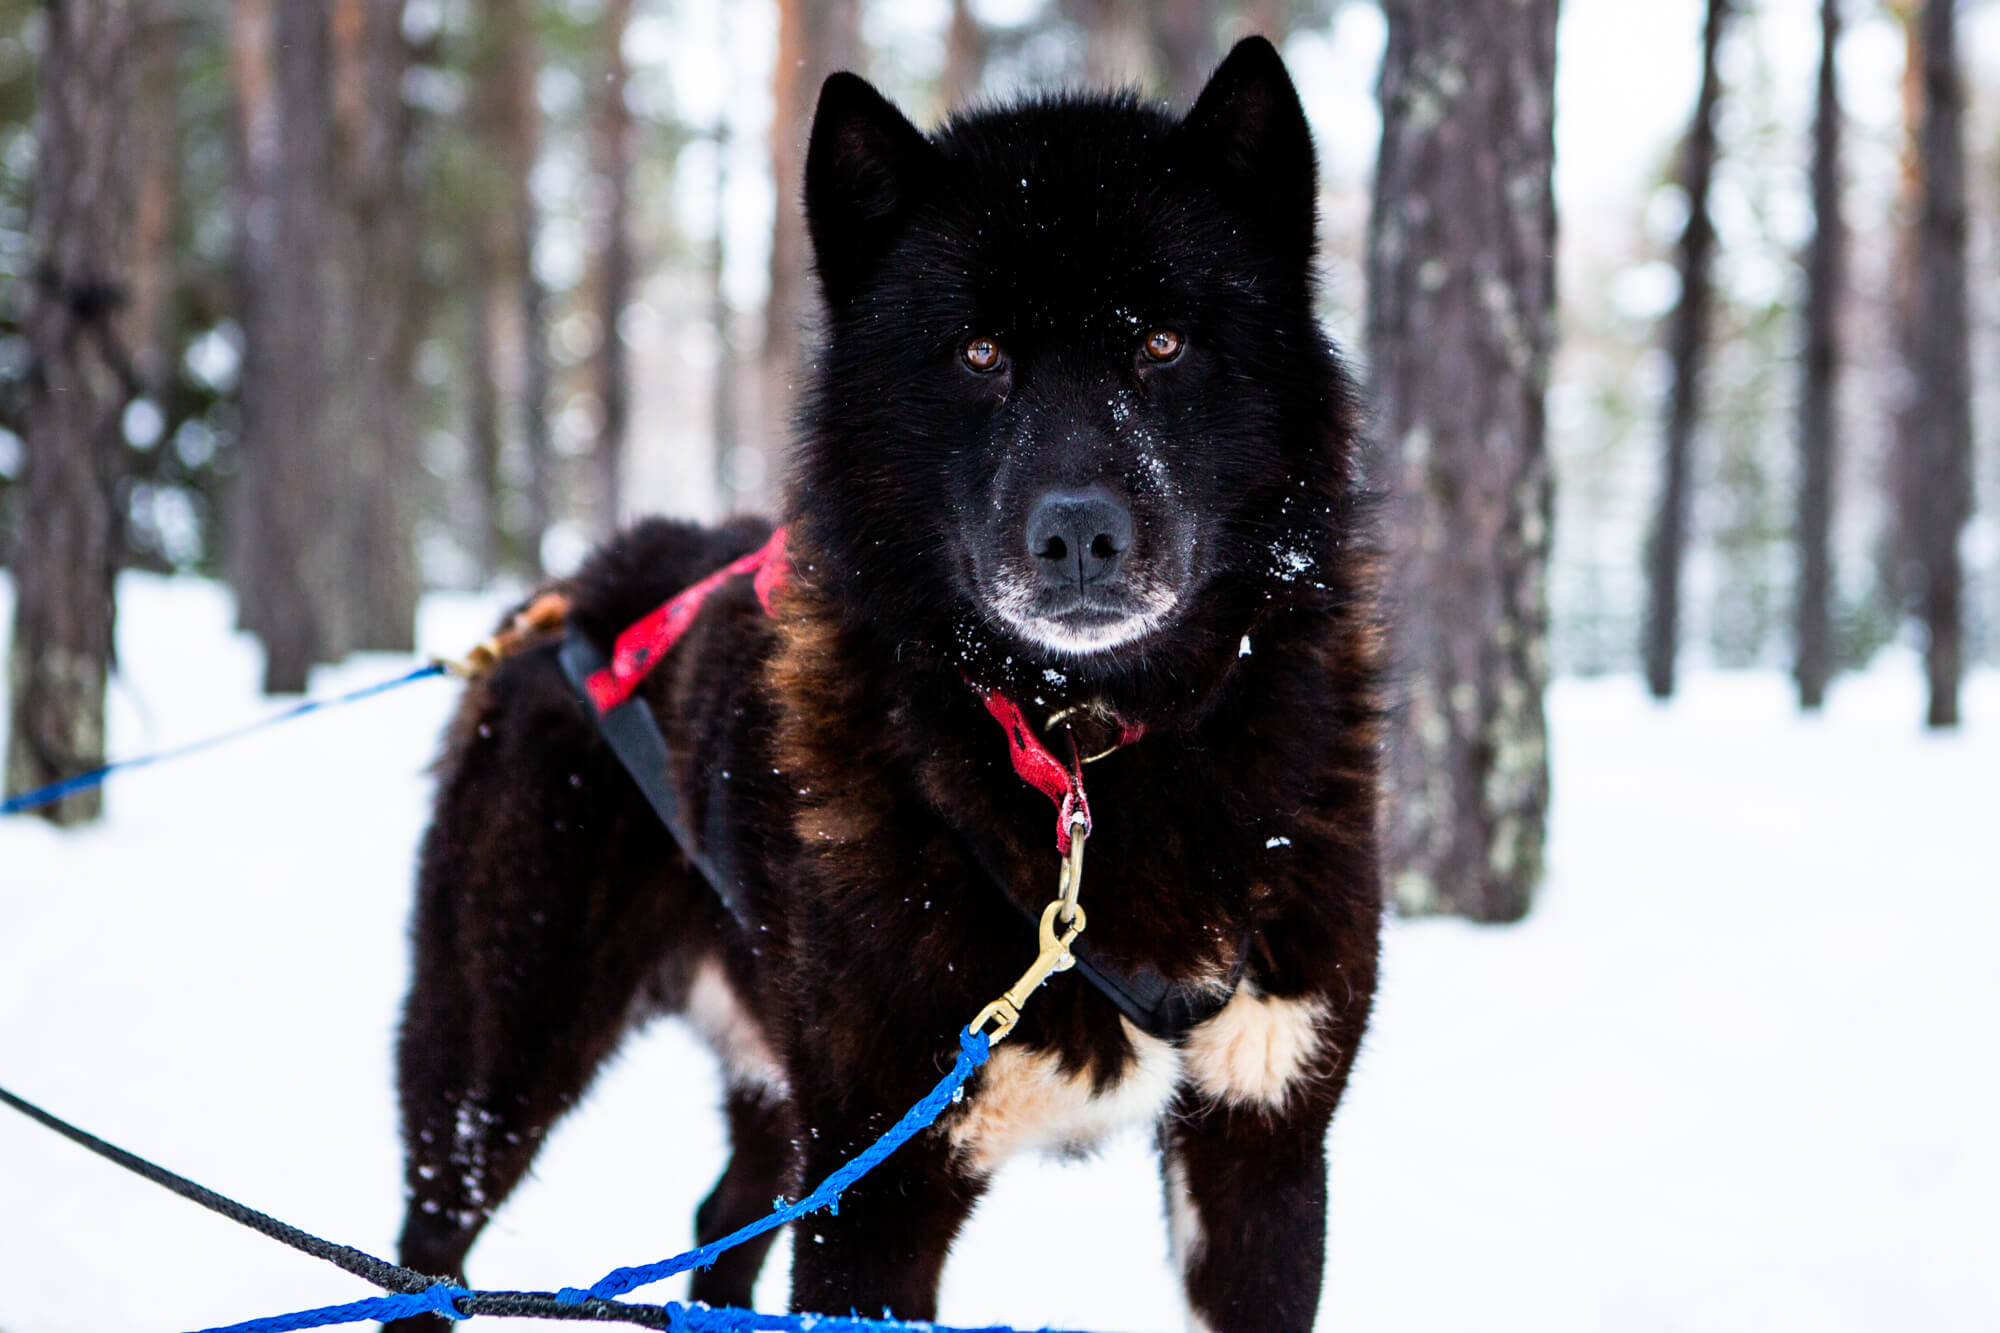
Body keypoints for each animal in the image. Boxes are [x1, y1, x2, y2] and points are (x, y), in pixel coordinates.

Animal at [398, 33, 1384, 1328]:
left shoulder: (1263, 1159)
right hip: (496, 1068)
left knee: (717, 1225)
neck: (1084, 755)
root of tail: (563, 600)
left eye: (1161, 344)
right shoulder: (875, 1193)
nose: (1077, 534)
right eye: (979, 353)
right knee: (424, 1243)